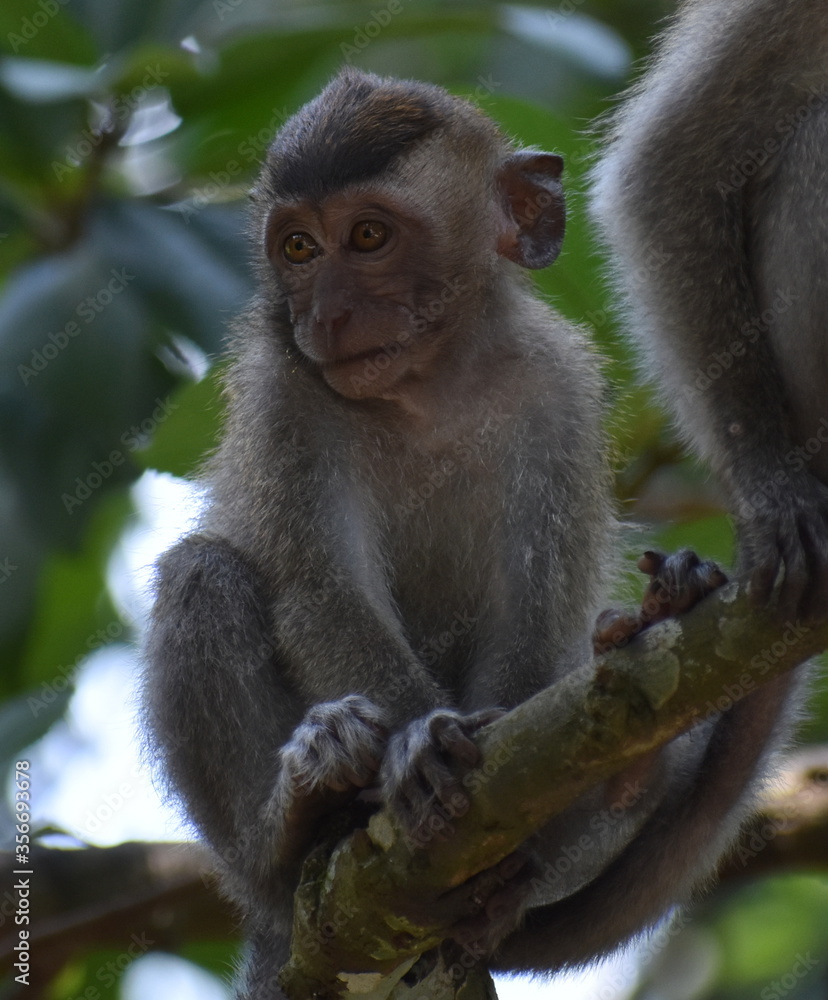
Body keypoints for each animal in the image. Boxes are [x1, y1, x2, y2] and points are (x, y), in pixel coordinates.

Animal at [143, 68, 798, 997]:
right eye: (298, 248)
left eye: (368, 236)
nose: (326, 314)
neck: (426, 385)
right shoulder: (286, 396)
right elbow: (318, 593)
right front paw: (414, 743)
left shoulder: (557, 390)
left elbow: (533, 616)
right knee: (203, 574)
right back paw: (295, 828)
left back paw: (620, 772)